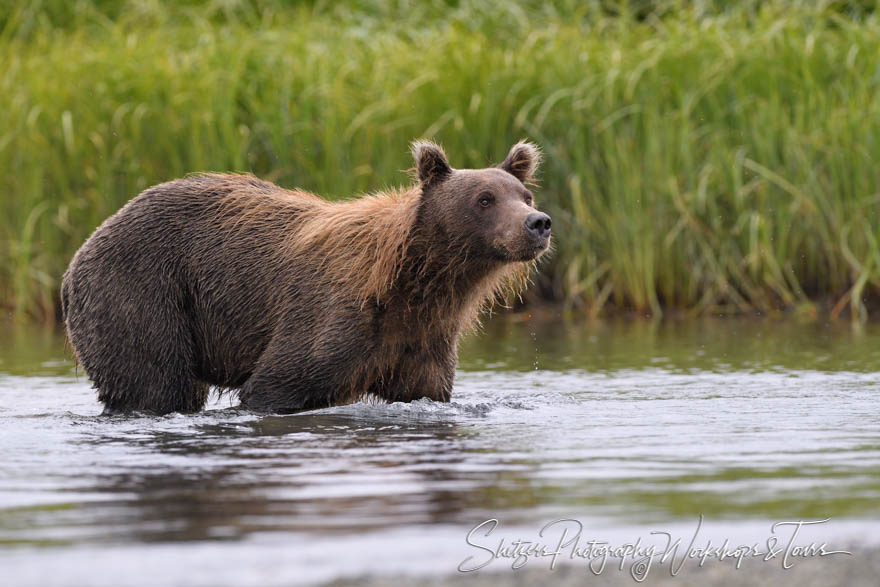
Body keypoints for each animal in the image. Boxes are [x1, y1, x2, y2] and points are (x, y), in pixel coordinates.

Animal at [63, 141, 552, 418]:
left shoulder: (422, 342)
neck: (414, 286)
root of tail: (80, 252)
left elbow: (425, 390)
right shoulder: (334, 318)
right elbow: (277, 383)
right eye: (485, 198)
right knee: (155, 384)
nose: (538, 223)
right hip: (142, 290)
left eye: (524, 195)